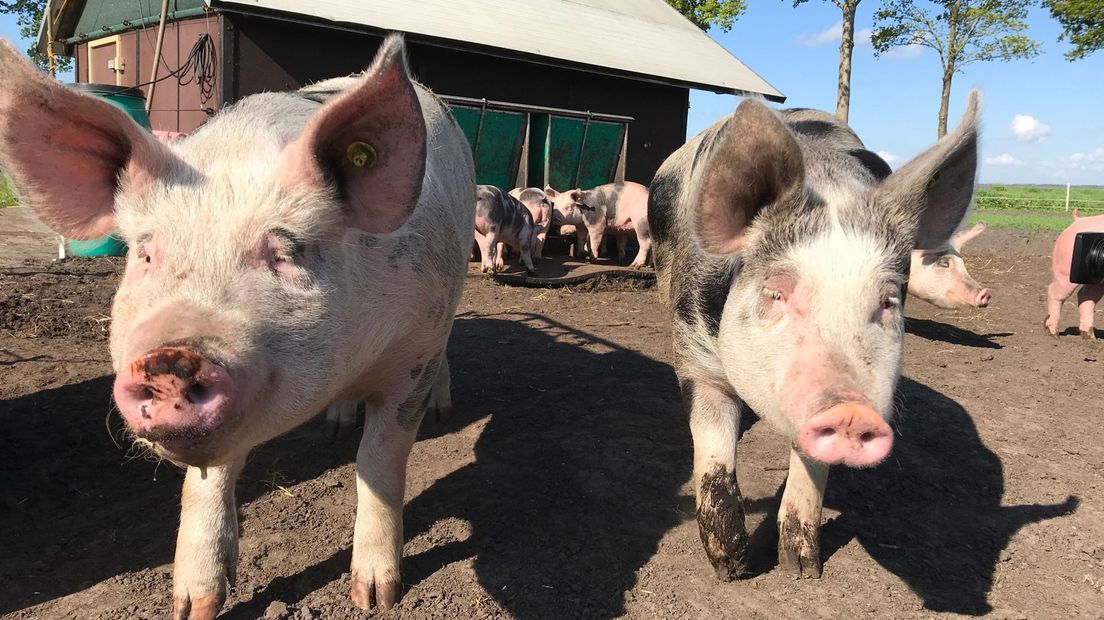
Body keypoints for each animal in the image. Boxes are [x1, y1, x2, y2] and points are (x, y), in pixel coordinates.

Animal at [0, 36, 470, 613]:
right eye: (146, 254)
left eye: (286, 252)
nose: (169, 358)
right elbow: (206, 482)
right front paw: (191, 607)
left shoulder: (415, 348)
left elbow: (380, 464)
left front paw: (376, 598)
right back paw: (336, 426)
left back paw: (441, 412)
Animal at [644, 94, 984, 578]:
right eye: (776, 293)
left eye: (888, 301)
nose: (851, 411)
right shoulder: (694, 352)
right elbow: (711, 453)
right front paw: (731, 567)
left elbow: (812, 467)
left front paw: (802, 569)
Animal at [1042, 208, 1104, 337]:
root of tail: (1078, 221)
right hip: (1066, 271)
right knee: (1054, 291)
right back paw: (1054, 334)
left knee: (1086, 295)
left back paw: (1090, 337)